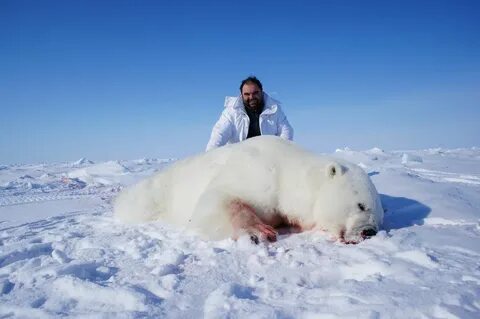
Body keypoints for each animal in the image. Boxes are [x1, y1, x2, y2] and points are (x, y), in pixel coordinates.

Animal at [114, 136, 384, 245]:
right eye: (361, 205)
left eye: (380, 217)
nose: (369, 232)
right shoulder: (257, 170)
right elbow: (215, 199)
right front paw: (259, 231)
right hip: (154, 194)